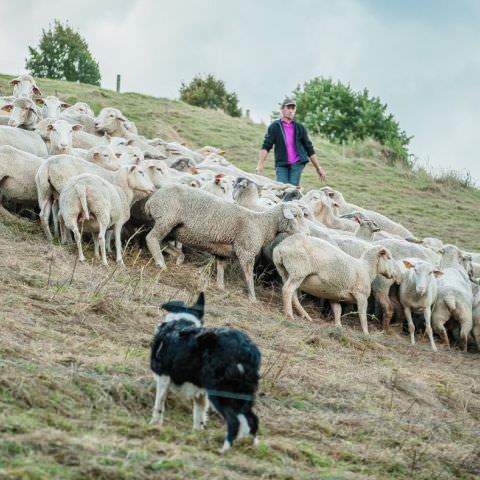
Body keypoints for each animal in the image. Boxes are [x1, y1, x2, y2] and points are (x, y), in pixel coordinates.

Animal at [144, 185, 308, 300]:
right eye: (296, 215)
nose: (307, 233)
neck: (263, 225)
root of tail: (151, 200)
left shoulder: (221, 251)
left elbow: (221, 269)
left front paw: (220, 287)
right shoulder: (246, 251)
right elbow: (249, 275)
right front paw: (252, 297)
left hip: (171, 227)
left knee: (161, 241)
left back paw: (178, 257)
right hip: (166, 218)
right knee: (151, 238)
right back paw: (161, 263)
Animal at [150, 290, 262, 452]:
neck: (182, 321)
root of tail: (245, 349)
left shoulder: (163, 376)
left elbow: (159, 405)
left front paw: (154, 425)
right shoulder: (200, 392)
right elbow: (199, 416)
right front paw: (196, 435)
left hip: (220, 392)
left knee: (234, 421)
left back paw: (223, 450)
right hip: (241, 396)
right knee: (253, 420)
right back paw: (249, 447)